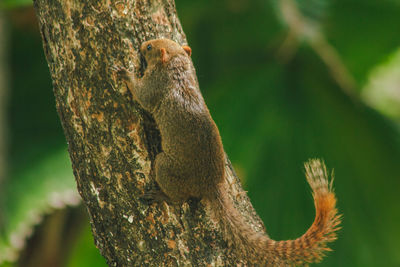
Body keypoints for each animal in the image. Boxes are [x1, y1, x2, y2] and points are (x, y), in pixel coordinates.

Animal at [113, 38, 340, 266]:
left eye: (150, 47)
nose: (143, 44)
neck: (177, 68)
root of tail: (211, 184)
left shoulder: (155, 86)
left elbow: (142, 95)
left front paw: (126, 74)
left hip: (165, 167)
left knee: (179, 197)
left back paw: (161, 194)